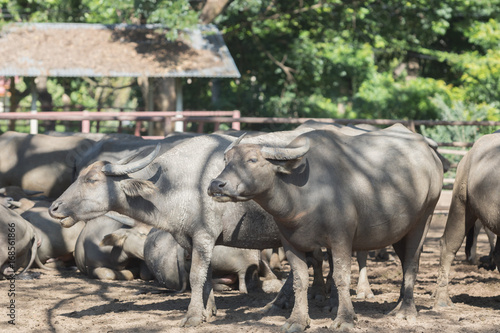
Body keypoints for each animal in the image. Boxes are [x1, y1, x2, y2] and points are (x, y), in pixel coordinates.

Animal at [209, 123, 444, 330]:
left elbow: (341, 277)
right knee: (404, 261)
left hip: (424, 217)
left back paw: (406, 311)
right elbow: (300, 280)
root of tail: (431, 155)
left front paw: (345, 319)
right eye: (226, 160)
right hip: (398, 230)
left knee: (412, 261)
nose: (216, 184)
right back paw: (398, 303)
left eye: (253, 160)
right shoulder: (291, 242)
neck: (305, 193)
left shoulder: (342, 239)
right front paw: (297, 320)